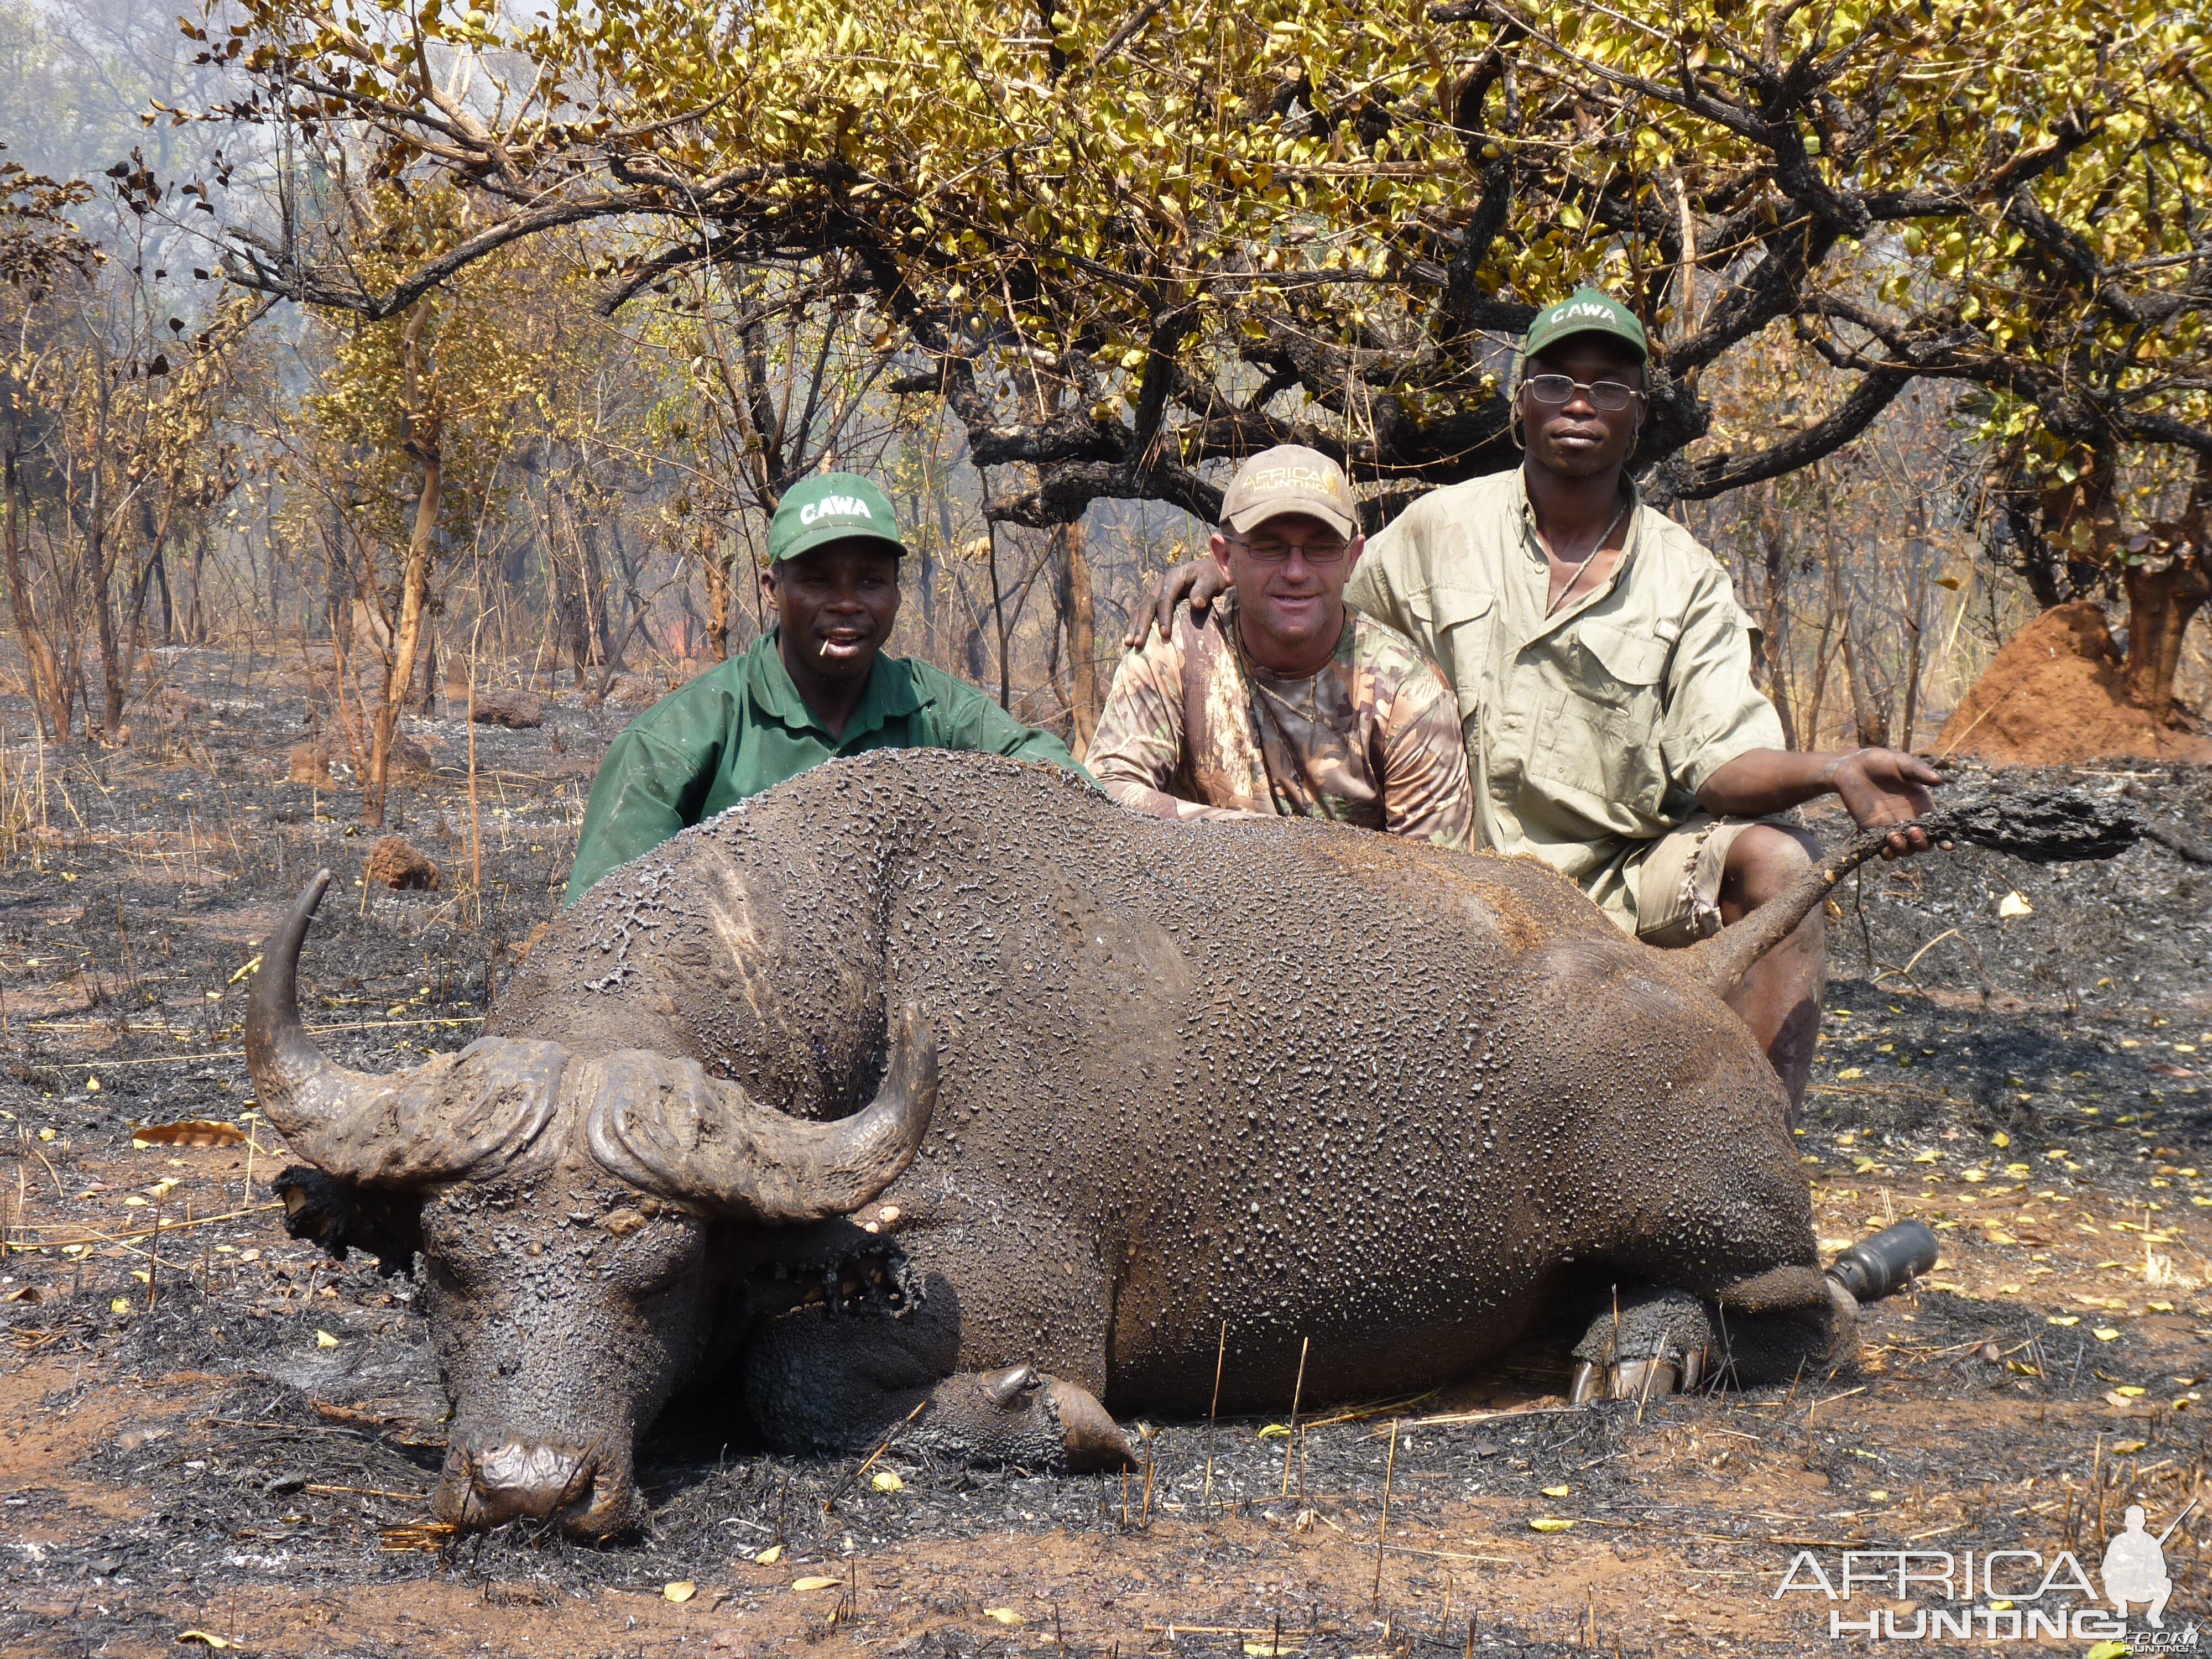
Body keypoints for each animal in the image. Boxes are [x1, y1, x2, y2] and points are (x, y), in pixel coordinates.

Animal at [247, 748, 2124, 1540]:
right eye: (442, 1268)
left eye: (658, 1272)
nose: (529, 1486)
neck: (842, 970)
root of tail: (1688, 982)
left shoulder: (999, 1287)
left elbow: (806, 1387)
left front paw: (1041, 1428)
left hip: (1720, 1207)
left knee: (1808, 1308)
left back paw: (1654, 1348)